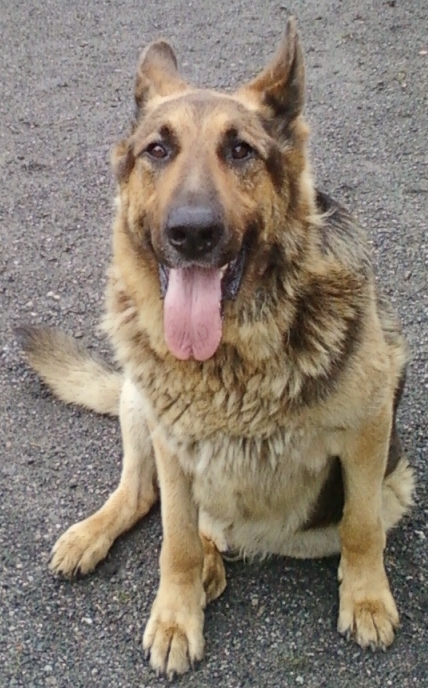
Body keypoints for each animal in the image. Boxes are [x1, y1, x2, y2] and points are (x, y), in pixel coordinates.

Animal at [18, 18, 414, 678]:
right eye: (158, 150)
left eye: (240, 151)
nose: (192, 233)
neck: (232, 360)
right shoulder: (173, 443)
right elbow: (173, 540)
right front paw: (177, 615)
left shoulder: (369, 430)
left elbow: (361, 526)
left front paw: (365, 599)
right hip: (139, 403)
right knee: (142, 495)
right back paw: (105, 538)